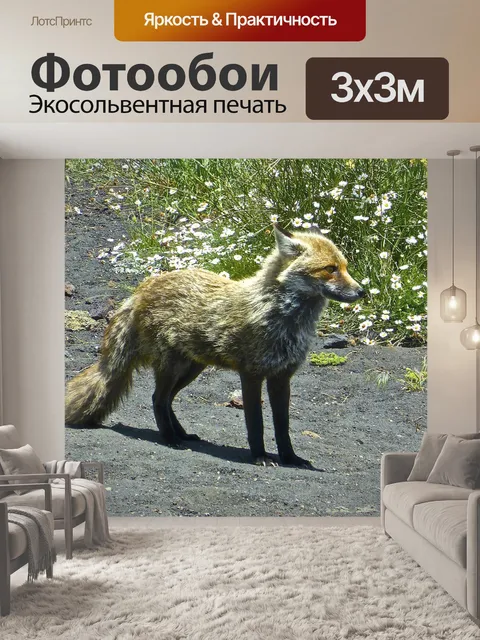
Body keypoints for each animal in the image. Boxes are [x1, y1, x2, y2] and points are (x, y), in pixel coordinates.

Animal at [65, 224, 364, 468]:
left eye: (345, 267)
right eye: (330, 269)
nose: (362, 291)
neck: (281, 317)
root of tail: (141, 289)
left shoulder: (281, 376)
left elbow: (283, 426)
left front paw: (290, 458)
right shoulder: (252, 373)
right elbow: (255, 422)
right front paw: (259, 457)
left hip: (191, 369)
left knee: (167, 400)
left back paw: (181, 433)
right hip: (172, 366)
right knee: (157, 399)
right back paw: (170, 439)